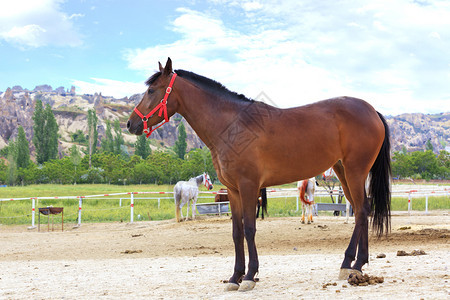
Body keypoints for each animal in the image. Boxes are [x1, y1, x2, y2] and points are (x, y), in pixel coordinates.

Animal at [126, 58, 390, 290]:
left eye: (151, 90)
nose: (130, 124)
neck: (232, 125)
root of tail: (372, 111)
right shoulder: (233, 191)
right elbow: (237, 232)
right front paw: (234, 277)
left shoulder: (249, 186)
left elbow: (250, 229)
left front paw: (249, 276)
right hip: (343, 171)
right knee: (362, 210)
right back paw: (354, 265)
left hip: (355, 171)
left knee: (362, 210)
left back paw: (353, 264)